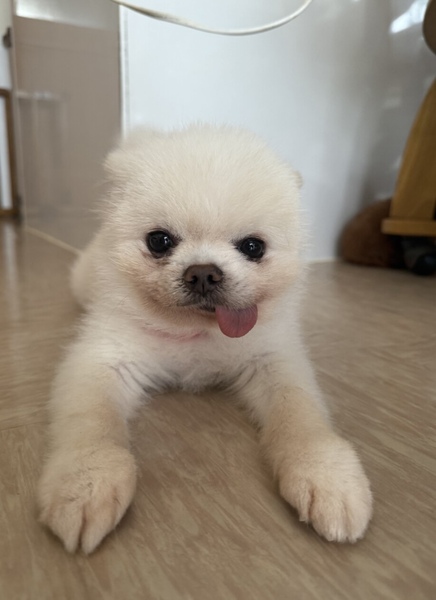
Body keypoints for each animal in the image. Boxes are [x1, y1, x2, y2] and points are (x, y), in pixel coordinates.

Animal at [38, 125, 372, 553]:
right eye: (159, 241)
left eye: (253, 247)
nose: (202, 272)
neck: (195, 331)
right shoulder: (104, 361)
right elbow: (90, 424)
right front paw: (84, 483)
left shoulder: (273, 361)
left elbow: (301, 417)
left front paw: (326, 475)